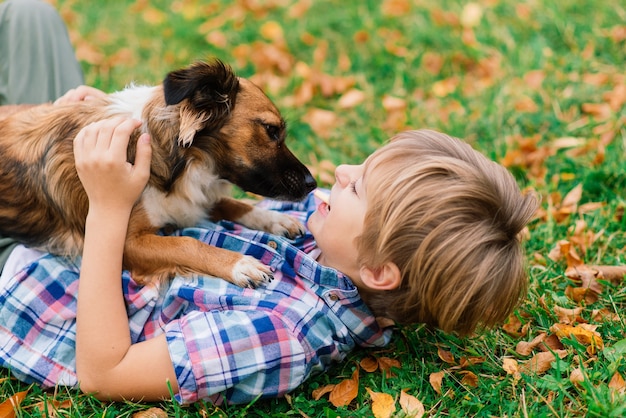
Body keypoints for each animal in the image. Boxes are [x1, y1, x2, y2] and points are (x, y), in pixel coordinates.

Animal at [0, 58, 314, 288]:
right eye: (271, 130)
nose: (312, 183)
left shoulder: (190, 200)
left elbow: (232, 204)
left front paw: (275, 219)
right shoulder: (125, 244)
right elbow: (185, 243)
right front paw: (239, 264)